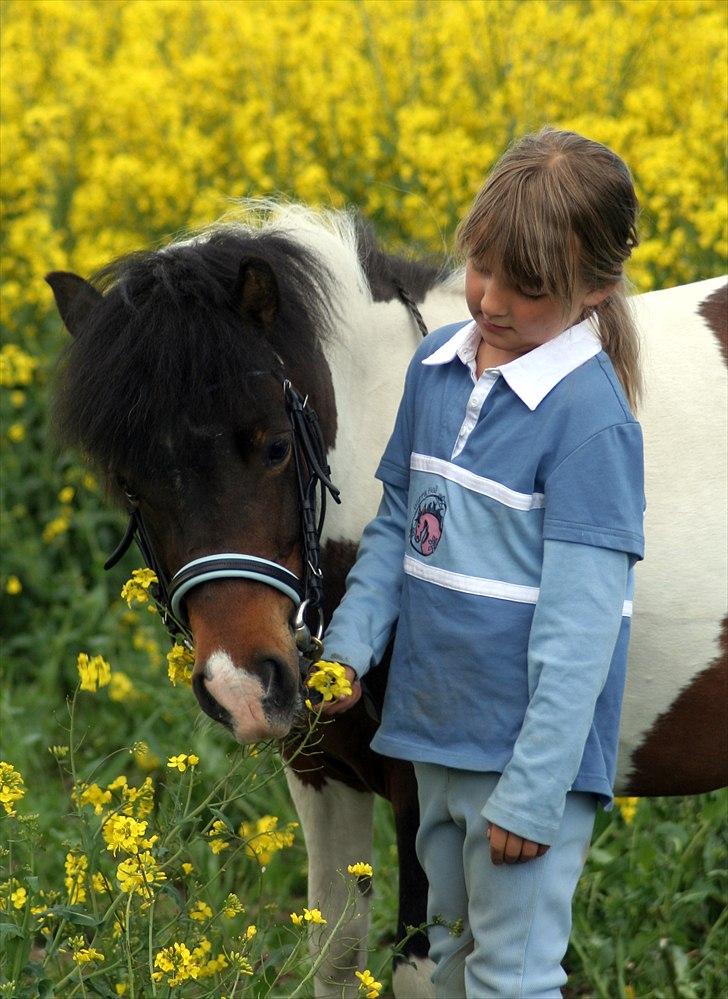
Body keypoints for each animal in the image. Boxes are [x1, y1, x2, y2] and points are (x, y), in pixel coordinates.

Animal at [47, 204, 727, 998]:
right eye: (128, 480)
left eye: (276, 447)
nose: (241, 686)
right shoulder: (320, 770)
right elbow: (336, 951)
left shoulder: (425, 788)